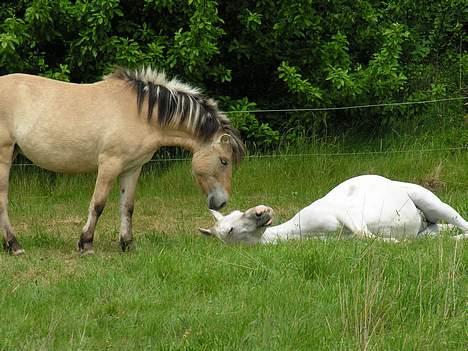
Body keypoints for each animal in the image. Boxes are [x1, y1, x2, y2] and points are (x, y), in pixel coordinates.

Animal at [0, 68, 247, 256]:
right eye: (224, 161)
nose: (222, 202)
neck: (140, 114)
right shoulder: (110, 164)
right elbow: (98, 204)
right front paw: (86, 243)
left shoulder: (132, 168)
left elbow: (127, 207)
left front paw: (127, 243)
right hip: (4, 156)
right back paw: (14, 245)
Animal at [198, 176, 468, 245]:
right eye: (230, 229)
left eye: (239, 211)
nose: (262, 211)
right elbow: (365, 237)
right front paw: (399, 242)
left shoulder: (348, 212)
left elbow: (364, 233)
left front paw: (397, 243)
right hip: (429, 225)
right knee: (440, 230)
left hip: (431, 201)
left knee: (461, 222)